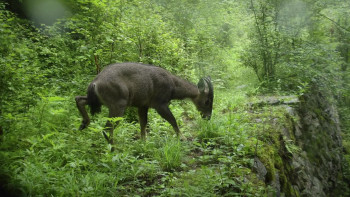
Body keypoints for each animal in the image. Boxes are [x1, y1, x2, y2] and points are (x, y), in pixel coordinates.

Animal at [74, 62, 213, 149]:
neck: (173, 86)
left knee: (79, 99)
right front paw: (183, 138)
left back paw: (83, 124)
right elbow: (173, 120)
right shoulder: (159, 104)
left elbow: (143, 123)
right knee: (108, 127)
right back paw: (114, 149)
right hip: (118, 105)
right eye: (207, 101)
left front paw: (144, 143)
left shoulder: (143, 105)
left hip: (98, 100)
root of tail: (95, 83)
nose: (208, 117)